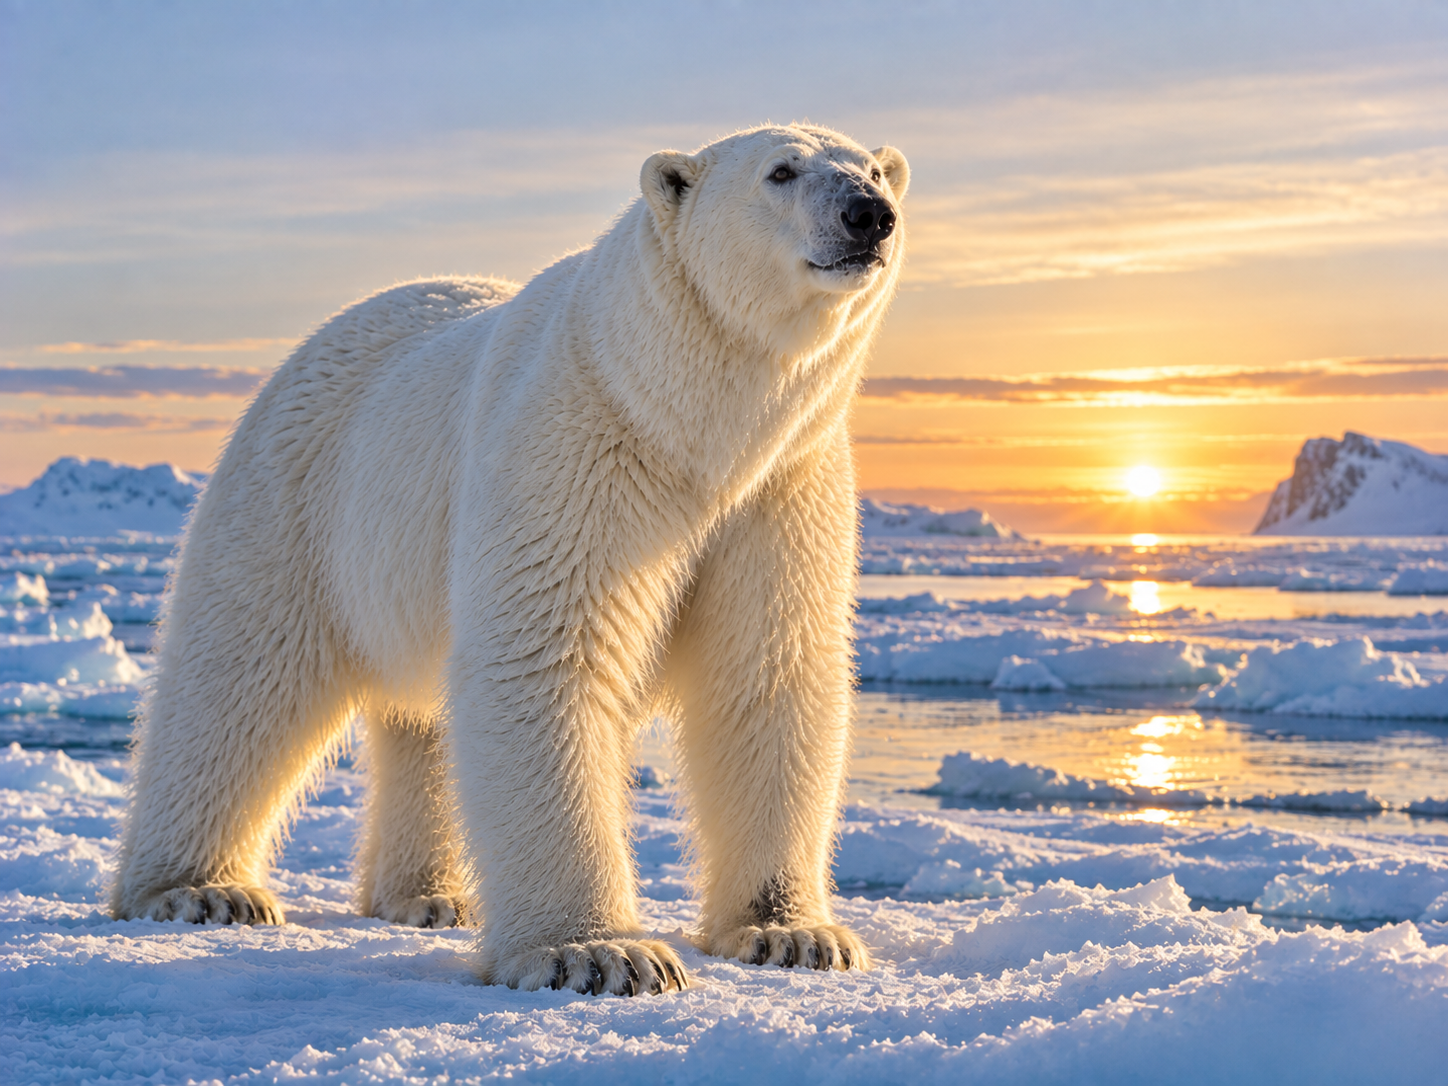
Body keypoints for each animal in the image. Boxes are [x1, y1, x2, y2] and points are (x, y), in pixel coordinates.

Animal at [110, 123, 909, 996]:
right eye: (782, 170)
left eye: (873, 170)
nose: (869, 215)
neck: (688, 427)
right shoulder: (578, 448)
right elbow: (546, 654)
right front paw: (599, 953)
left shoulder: (781, 489)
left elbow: (768, 671)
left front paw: (793, 934)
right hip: (298, 500)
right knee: (239, 678)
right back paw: (200, 889)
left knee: (419, 721)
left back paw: (429, 896)